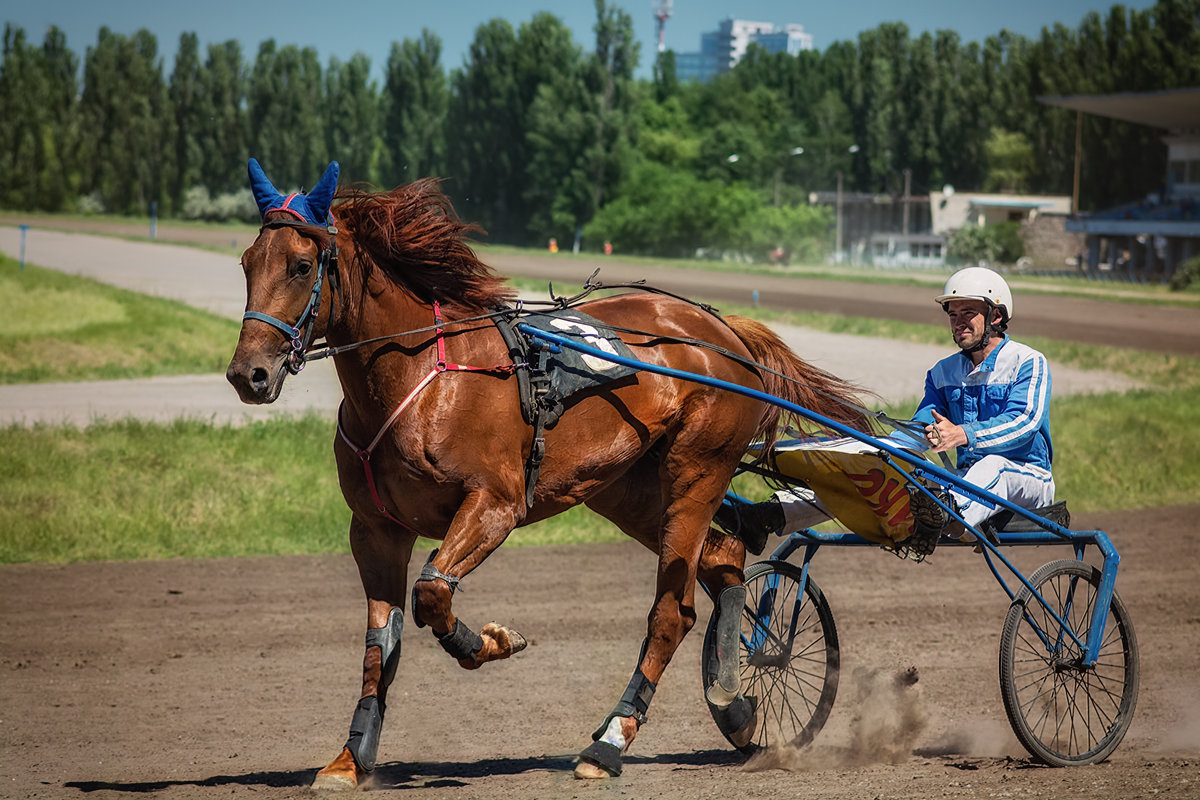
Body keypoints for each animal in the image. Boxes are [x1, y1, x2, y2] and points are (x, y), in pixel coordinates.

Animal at [225, 158, 868, 786]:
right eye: (247, 263)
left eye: (301, 265)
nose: (247, 374)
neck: (422, 383)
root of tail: (726, 331)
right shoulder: (375, 529)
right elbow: (379, 644)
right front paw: (349, 759)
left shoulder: (494, 504)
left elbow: (432, 592)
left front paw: (489, 641)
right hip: (629, 489)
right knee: (723, 559)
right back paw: (734, 702)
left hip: (697, 470)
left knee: (673, 610)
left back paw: (610, 742)